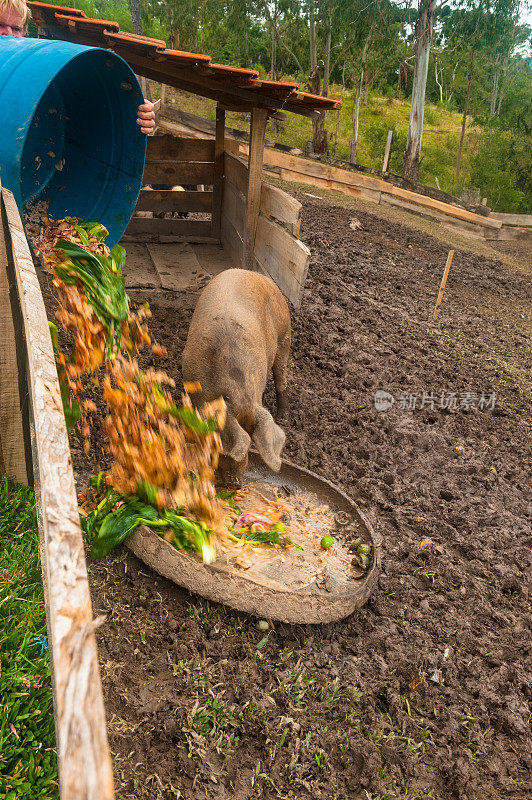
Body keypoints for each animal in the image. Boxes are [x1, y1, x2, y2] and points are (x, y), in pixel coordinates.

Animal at [183, 268, 290, 482]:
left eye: (251, 447)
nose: (236, 484)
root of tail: (257, 275)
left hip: (285, 334)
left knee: (281, 378)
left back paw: (283, 417)